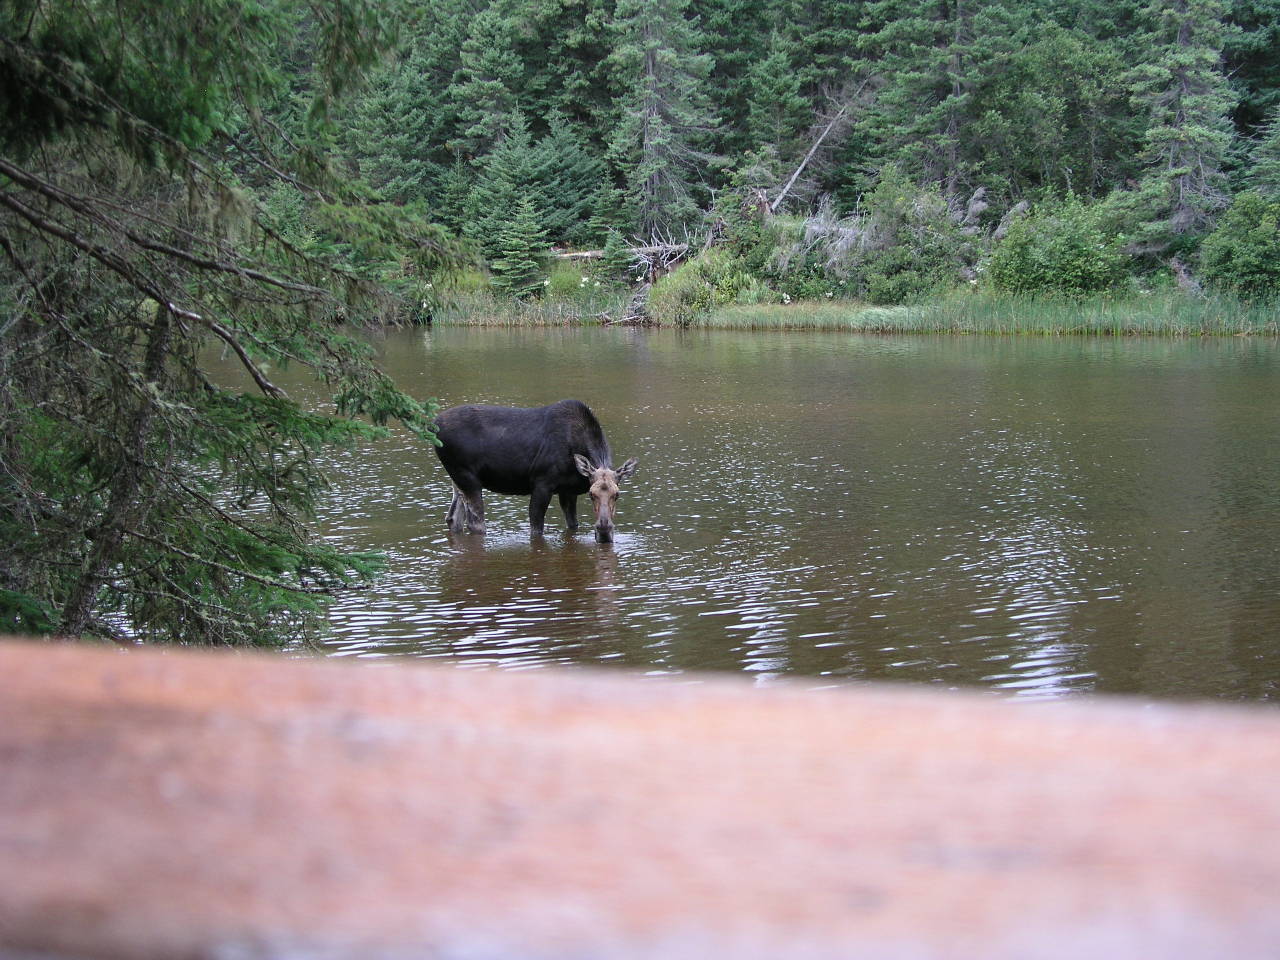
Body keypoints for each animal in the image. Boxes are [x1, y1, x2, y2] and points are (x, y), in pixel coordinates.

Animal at [433, 399, 639, 543]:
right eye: (591, 494)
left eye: (617, 494)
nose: (604, 531)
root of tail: (433, 426)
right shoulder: (542, 484)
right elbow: (536, 529)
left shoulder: (568, 490)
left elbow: (573, 525)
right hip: (467, 477)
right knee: (475, 523)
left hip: (457, 479)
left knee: (453, 518)